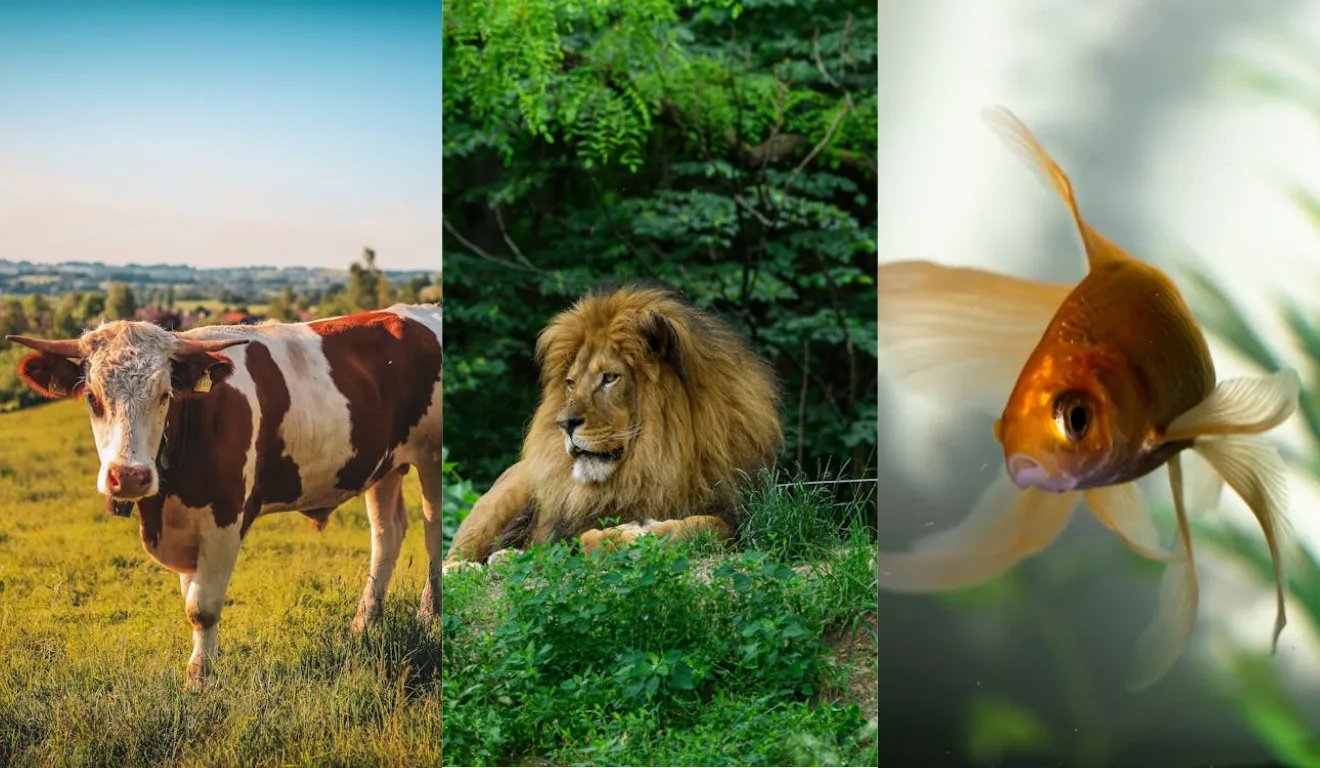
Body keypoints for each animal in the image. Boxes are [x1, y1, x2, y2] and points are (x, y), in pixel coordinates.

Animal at [7, 303, 442, 691]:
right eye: (92, 398)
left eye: (164, 394)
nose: (128, 476)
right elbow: (191, 596)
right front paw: (202, 665)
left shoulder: (226, 517)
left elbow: (202, 608)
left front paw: (200, 679)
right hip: (384, 465)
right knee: (387, 534)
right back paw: (364, 624)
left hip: (432, 457)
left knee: (432, 533)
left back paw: (429, 616)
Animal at [443, 284, 784, 570]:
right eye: (571, 383)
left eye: (609, 378)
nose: (564, 423)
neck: (652, 461)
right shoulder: (573, 529)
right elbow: (590, 538)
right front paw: (629, 536)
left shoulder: (735, 513)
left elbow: (710, 526)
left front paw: (647, 531)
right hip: (500, 498)